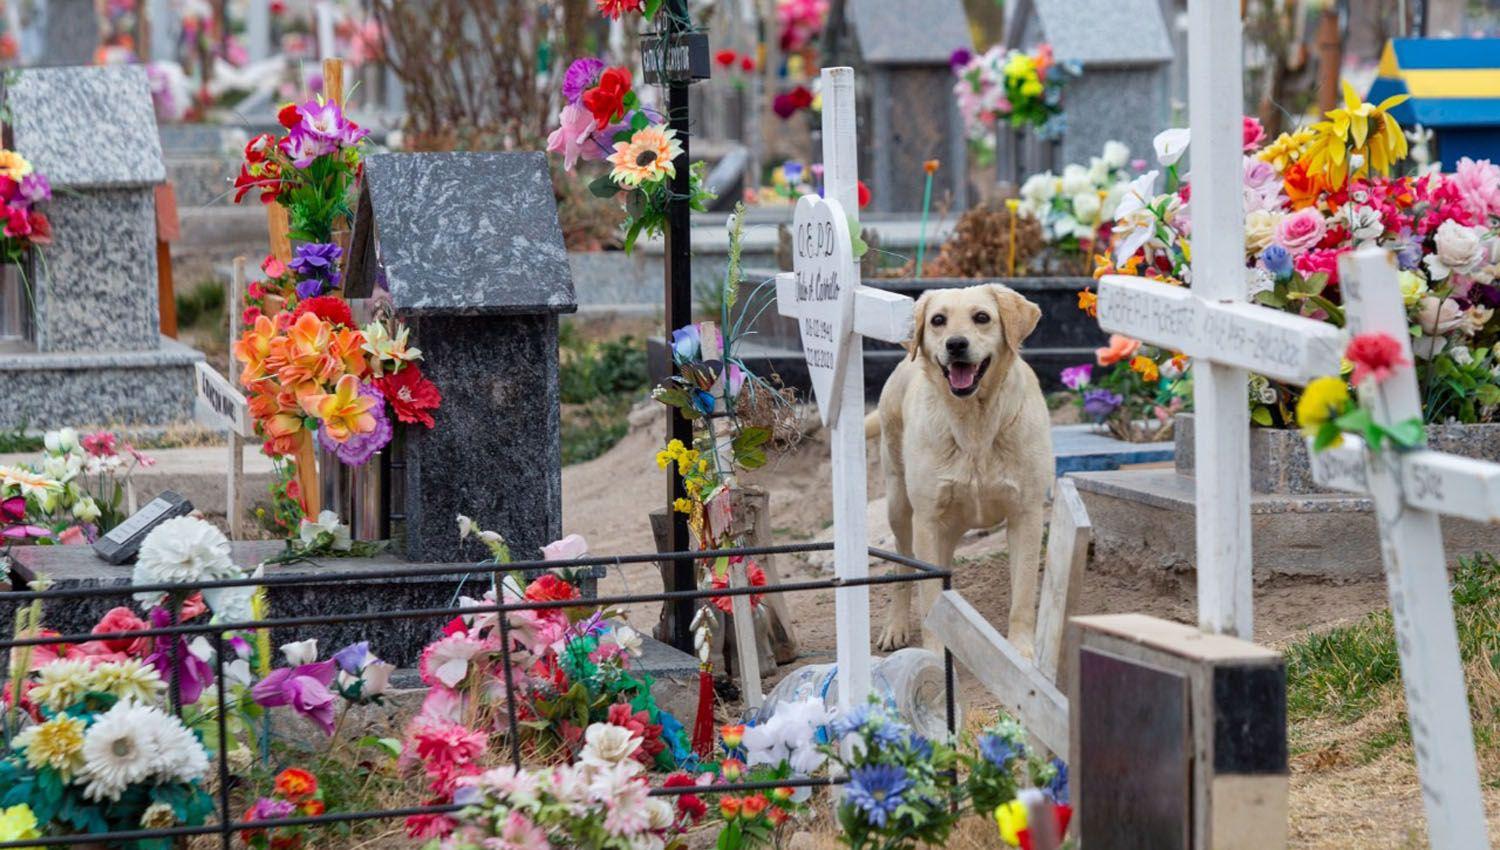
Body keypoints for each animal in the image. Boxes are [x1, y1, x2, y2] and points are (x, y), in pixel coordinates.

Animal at [876, 283, 1050, 656]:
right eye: (938, 320)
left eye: (981, 317)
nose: (955, 344)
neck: (975, 424)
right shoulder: (927, 520)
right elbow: (927, 595)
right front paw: (933, 654)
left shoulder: (1026, 515)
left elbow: (1023, 596)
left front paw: (1021, 652)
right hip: (899, 506)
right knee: (902, 565)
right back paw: (896, 627)